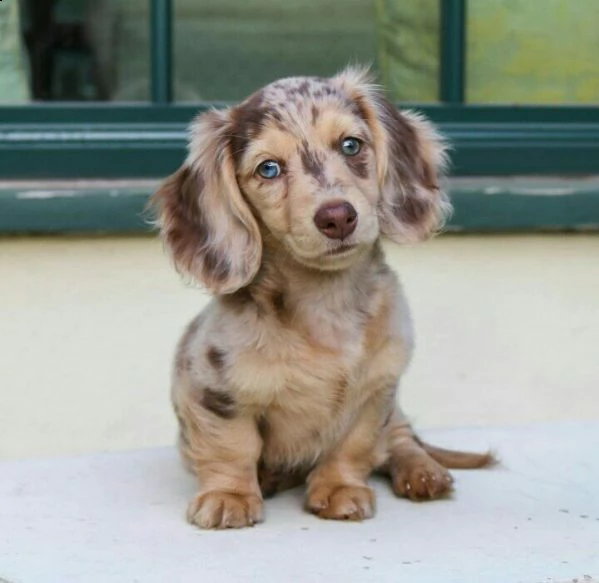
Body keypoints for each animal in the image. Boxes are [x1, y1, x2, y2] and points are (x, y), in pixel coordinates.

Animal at [152, 67, 494, 528]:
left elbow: (354, 445)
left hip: (396, 415)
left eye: (351, 145)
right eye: (269, 168)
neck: (324, 304)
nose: (337, 217)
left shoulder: (376, 391)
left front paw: (339, 489)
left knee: (402, 439)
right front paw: (229, 495)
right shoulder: (214, 393)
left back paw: (423, 472)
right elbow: (232, 446)